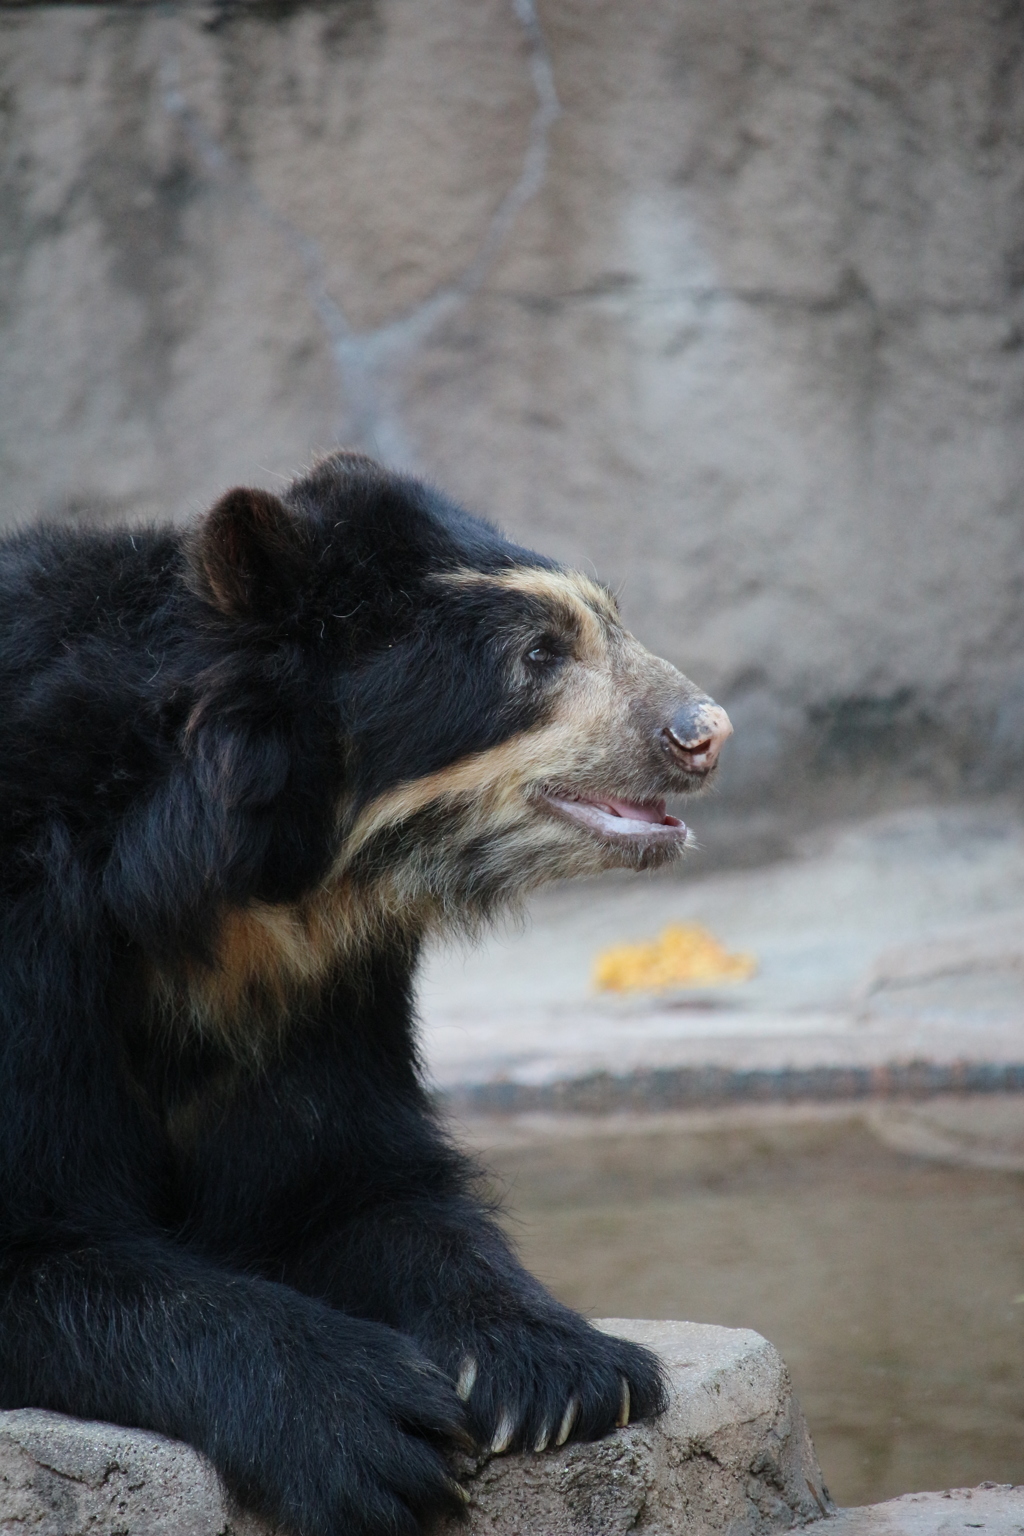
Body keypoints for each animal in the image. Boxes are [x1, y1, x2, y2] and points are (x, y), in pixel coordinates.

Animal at [0, 451, 736, 1536]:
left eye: (607, 620)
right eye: (535, 656)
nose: (704, 731)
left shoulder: (315, 990)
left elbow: (351, 1182)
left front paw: (562, 1372)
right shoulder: (30, 942)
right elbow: (46, 1234)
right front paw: (366, 1425)